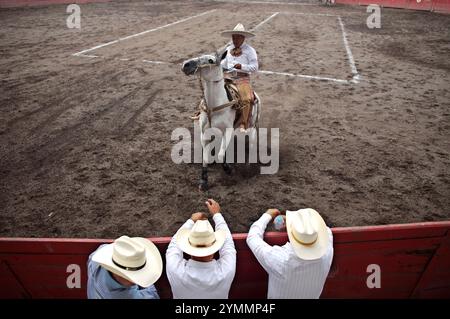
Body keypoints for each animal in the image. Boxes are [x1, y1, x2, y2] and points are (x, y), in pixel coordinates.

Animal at [182, 48, 262, 191]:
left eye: (210, 60)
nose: (186, 64)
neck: (215, 106)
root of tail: (255, 95)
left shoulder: (228, 130)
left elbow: (220, 155)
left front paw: (229, 169)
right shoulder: (205, 133)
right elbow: (206, 157)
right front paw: (204, 181)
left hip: (252, 125)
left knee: (252, 142)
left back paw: (248, 165)